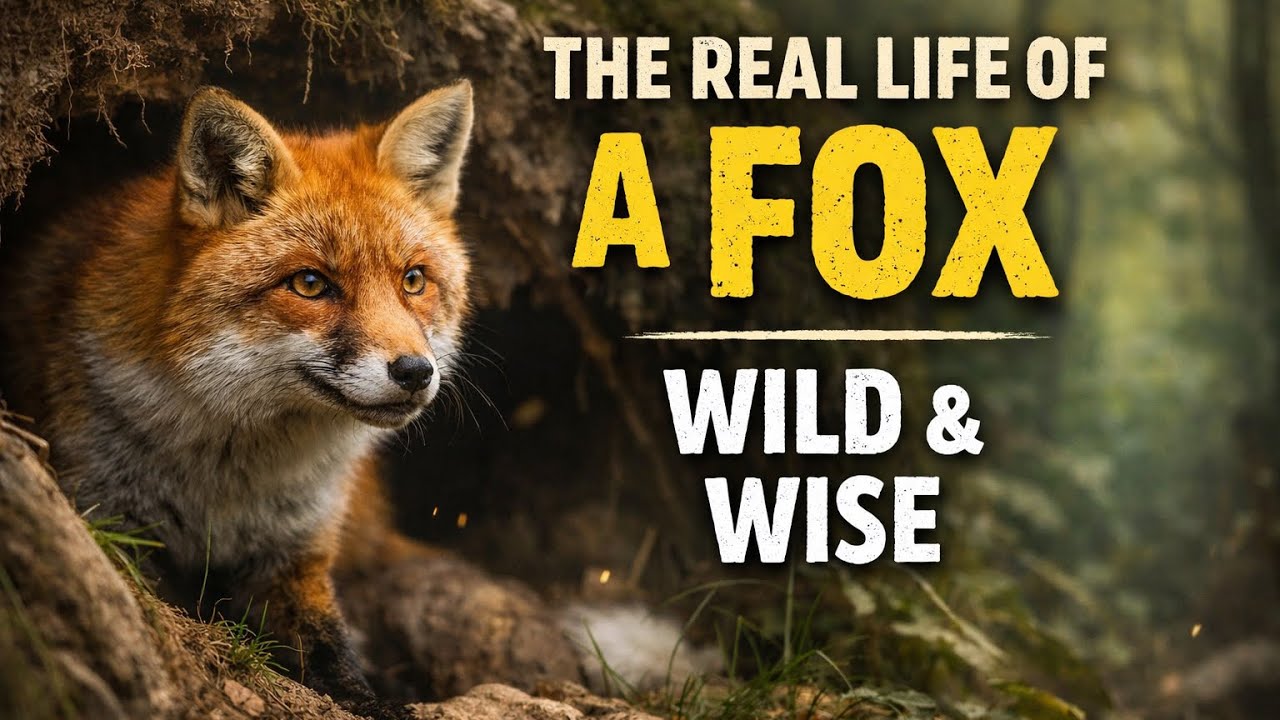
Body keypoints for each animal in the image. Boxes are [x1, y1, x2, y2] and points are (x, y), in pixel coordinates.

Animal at [0, 82, 478, 718]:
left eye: (414, 280)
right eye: (310, 284)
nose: (415, 371)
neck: (228, 480)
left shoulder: (294, 554)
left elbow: (329, 651)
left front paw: (373, 697)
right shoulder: (111, 513)